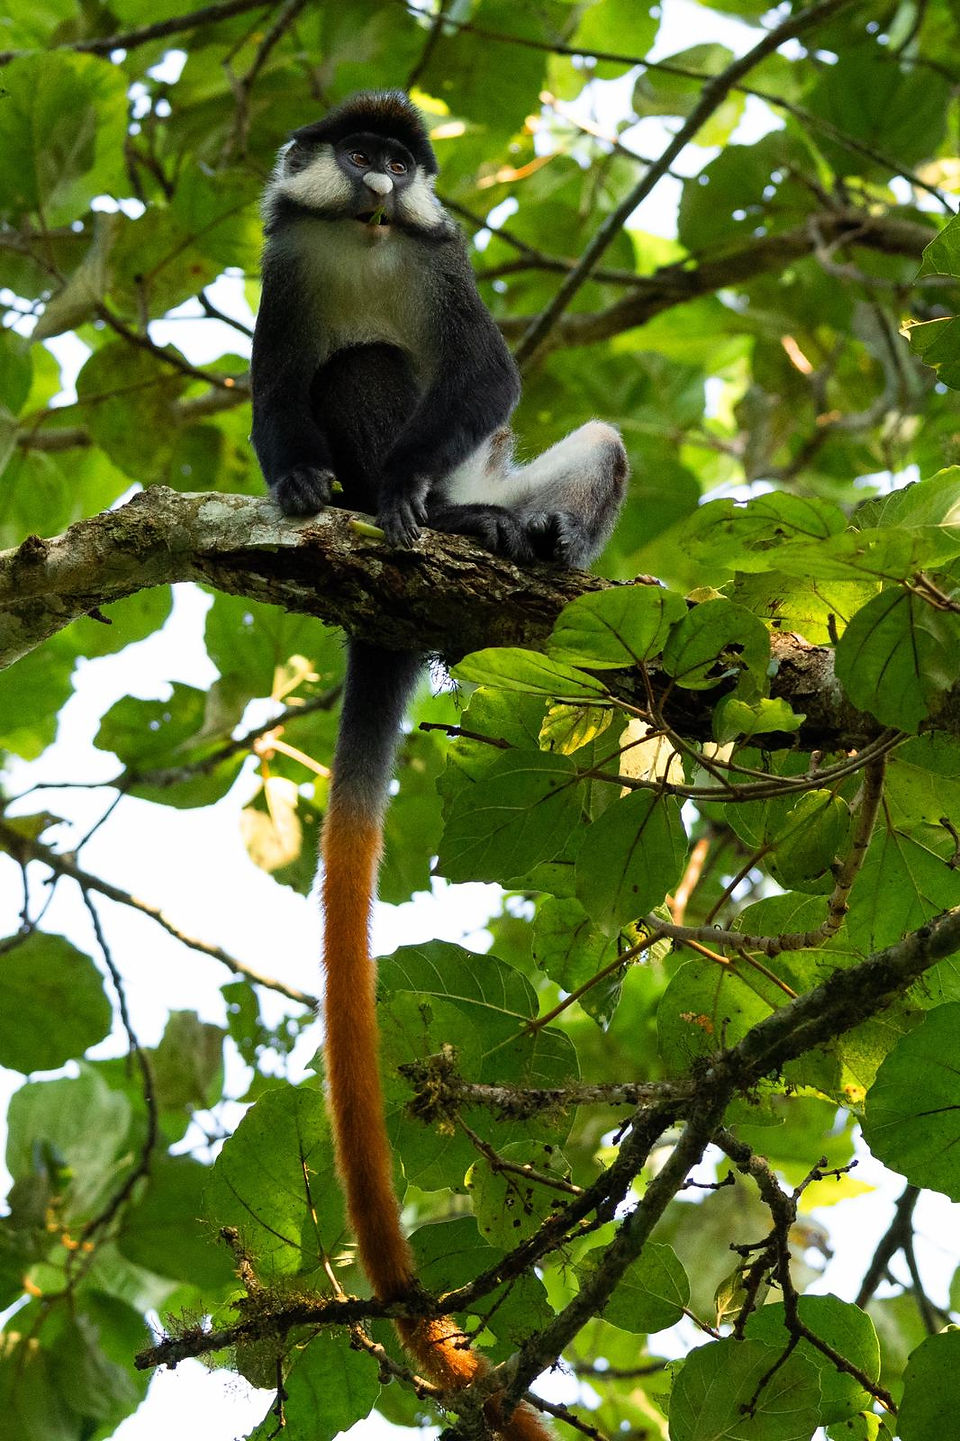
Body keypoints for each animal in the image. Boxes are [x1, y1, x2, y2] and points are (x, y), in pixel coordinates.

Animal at [251, 91, 627, 1439]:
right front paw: (296, 480)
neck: (366, 243)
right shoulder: (286, 262)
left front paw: (417, 486)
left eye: (402, 169)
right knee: (351, 369)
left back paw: (504, 528)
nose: (378, 182)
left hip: (502, 473)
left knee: (565, 443)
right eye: (359, 156)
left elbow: (487, 372)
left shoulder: (442, 258)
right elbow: (279, 385)